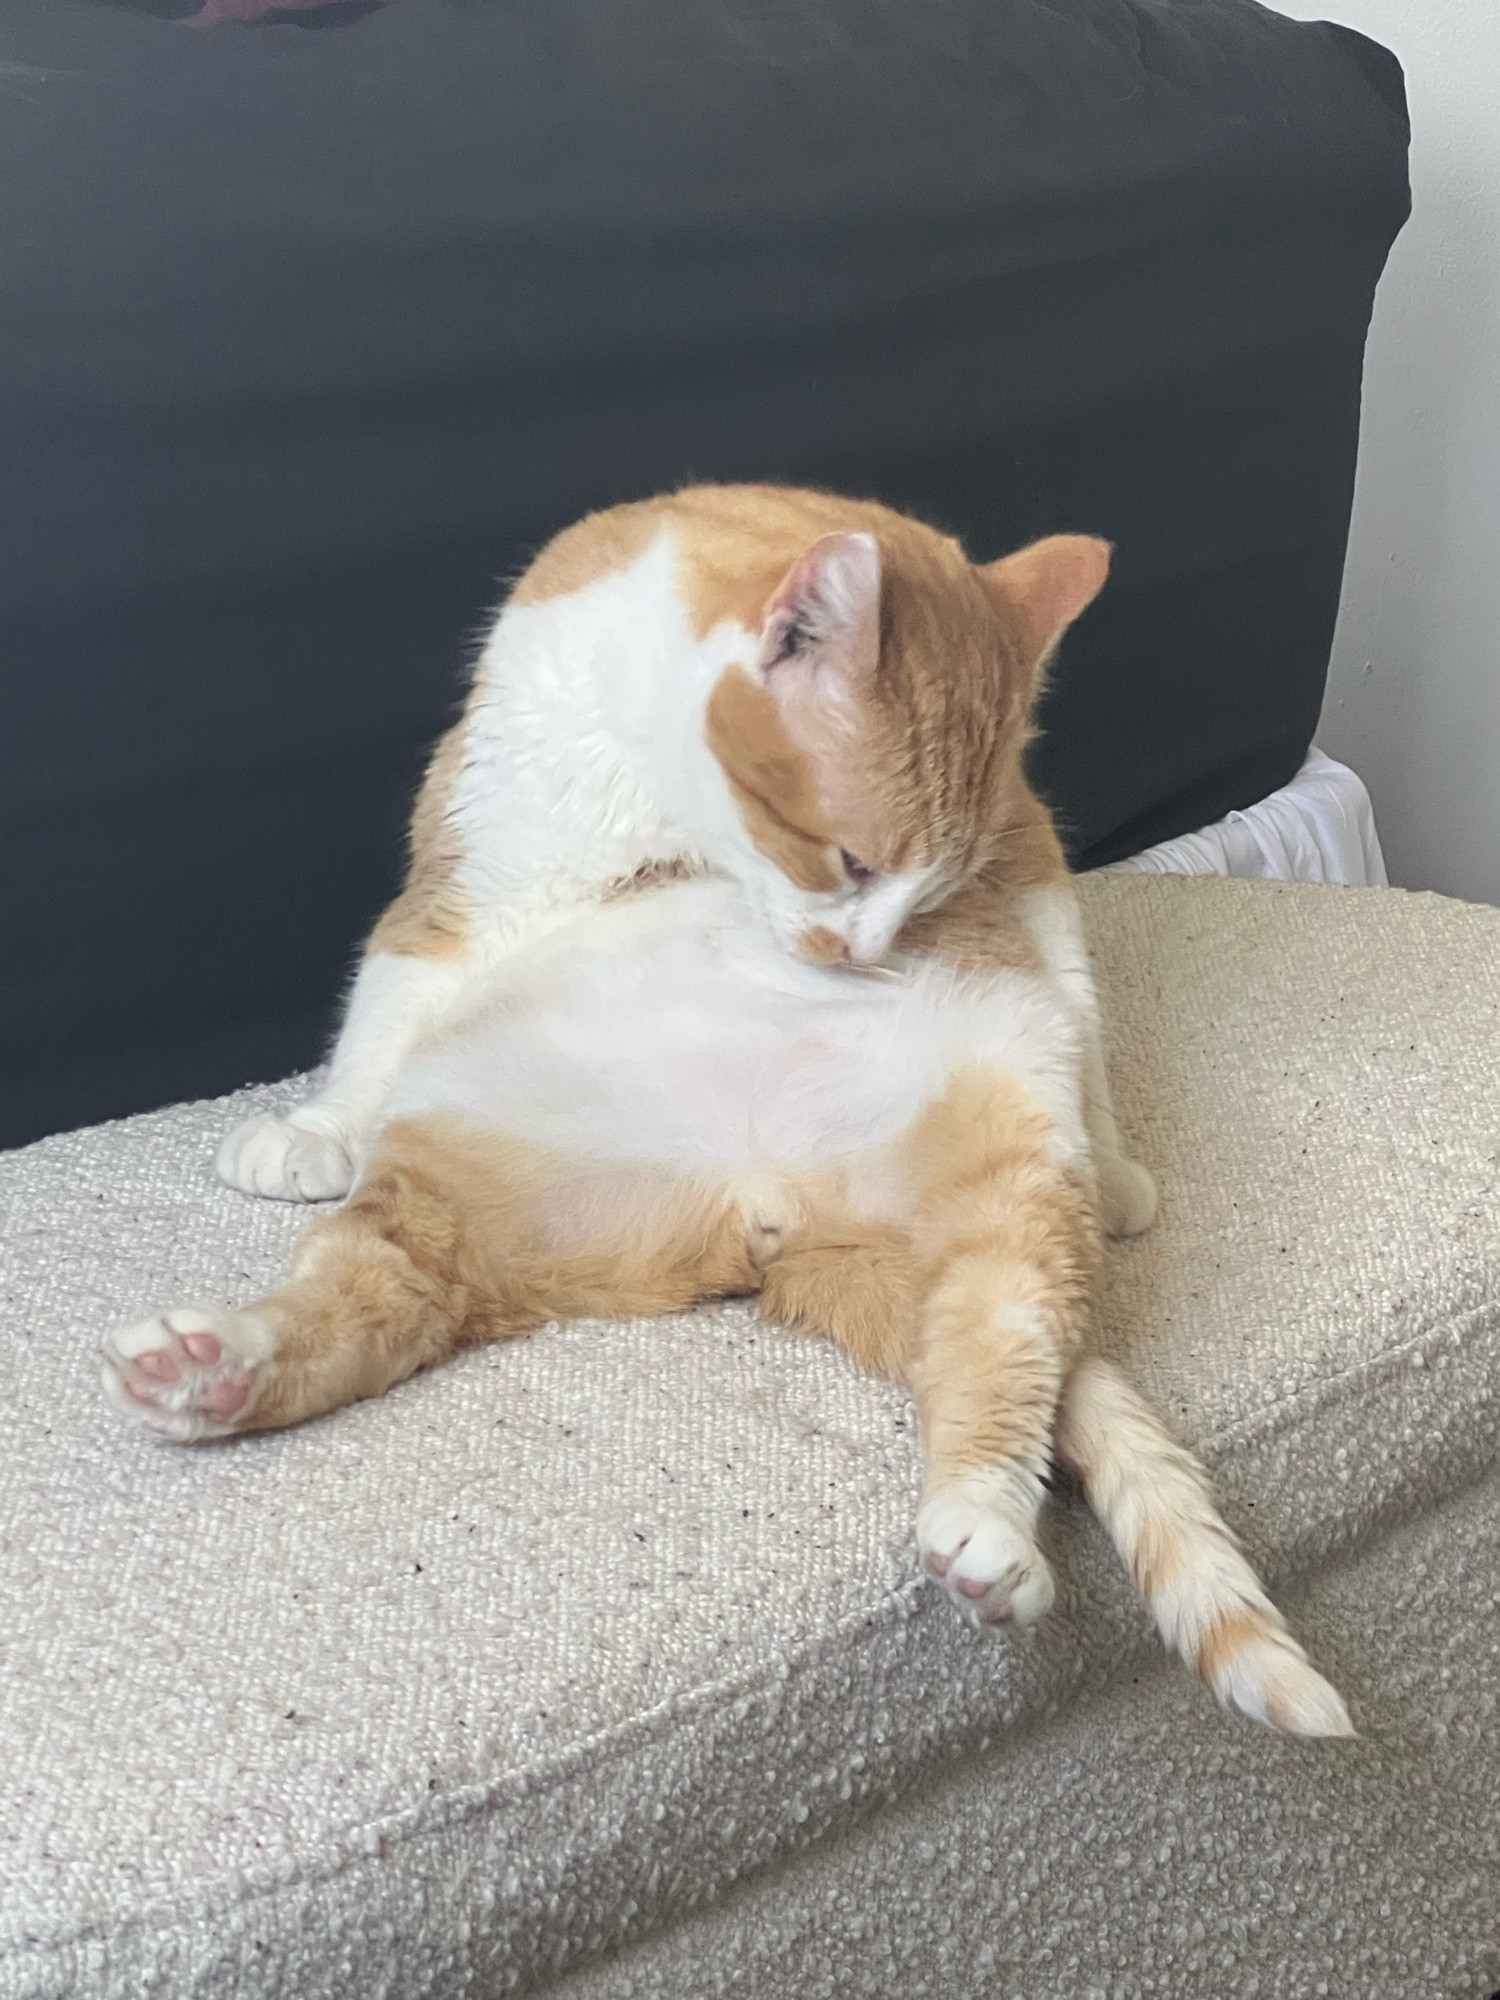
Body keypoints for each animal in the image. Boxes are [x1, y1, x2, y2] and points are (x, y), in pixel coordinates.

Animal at [100, 484, 1360, 1736]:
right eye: (849, 860)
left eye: (928, 890)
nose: (864, 955)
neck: (666, 813)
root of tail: (763, 1208)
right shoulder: (472, 863)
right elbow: (384, 1005)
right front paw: (318, 1128)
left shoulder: (1021, 843)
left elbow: (1071, 969)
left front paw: (1123, 1162)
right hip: (458, 1199)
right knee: (376, 1300)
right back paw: (207, 1372)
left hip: (1009, 1191)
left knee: (1003, 1351)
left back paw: (989, 1531)